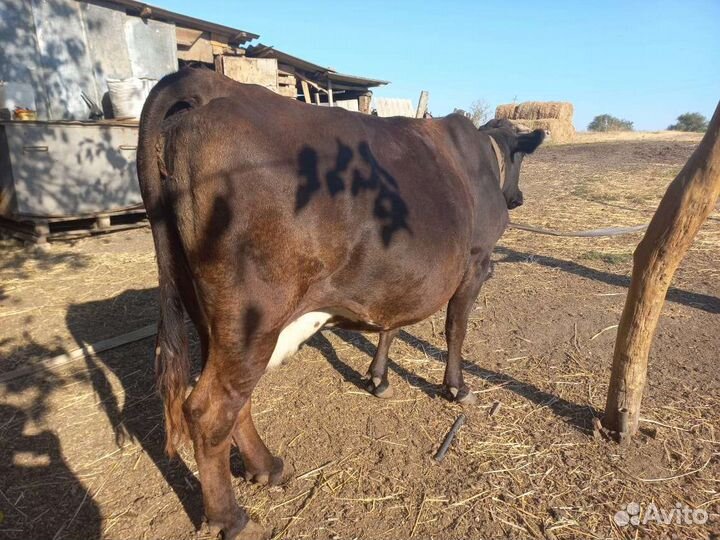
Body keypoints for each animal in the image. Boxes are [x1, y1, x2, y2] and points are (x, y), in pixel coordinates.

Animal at [137, 68, 544, 539]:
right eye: (520, 160)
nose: (518, 198)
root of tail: (213, 84)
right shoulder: (476, 264)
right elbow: (455, 330)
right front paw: (457, 388)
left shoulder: (399, 276)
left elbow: (392, 324)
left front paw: (378, 378)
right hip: (252, 319)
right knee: (208, 410)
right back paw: (231, 517)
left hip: (212, 317)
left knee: (237, 400)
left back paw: (267, 467)